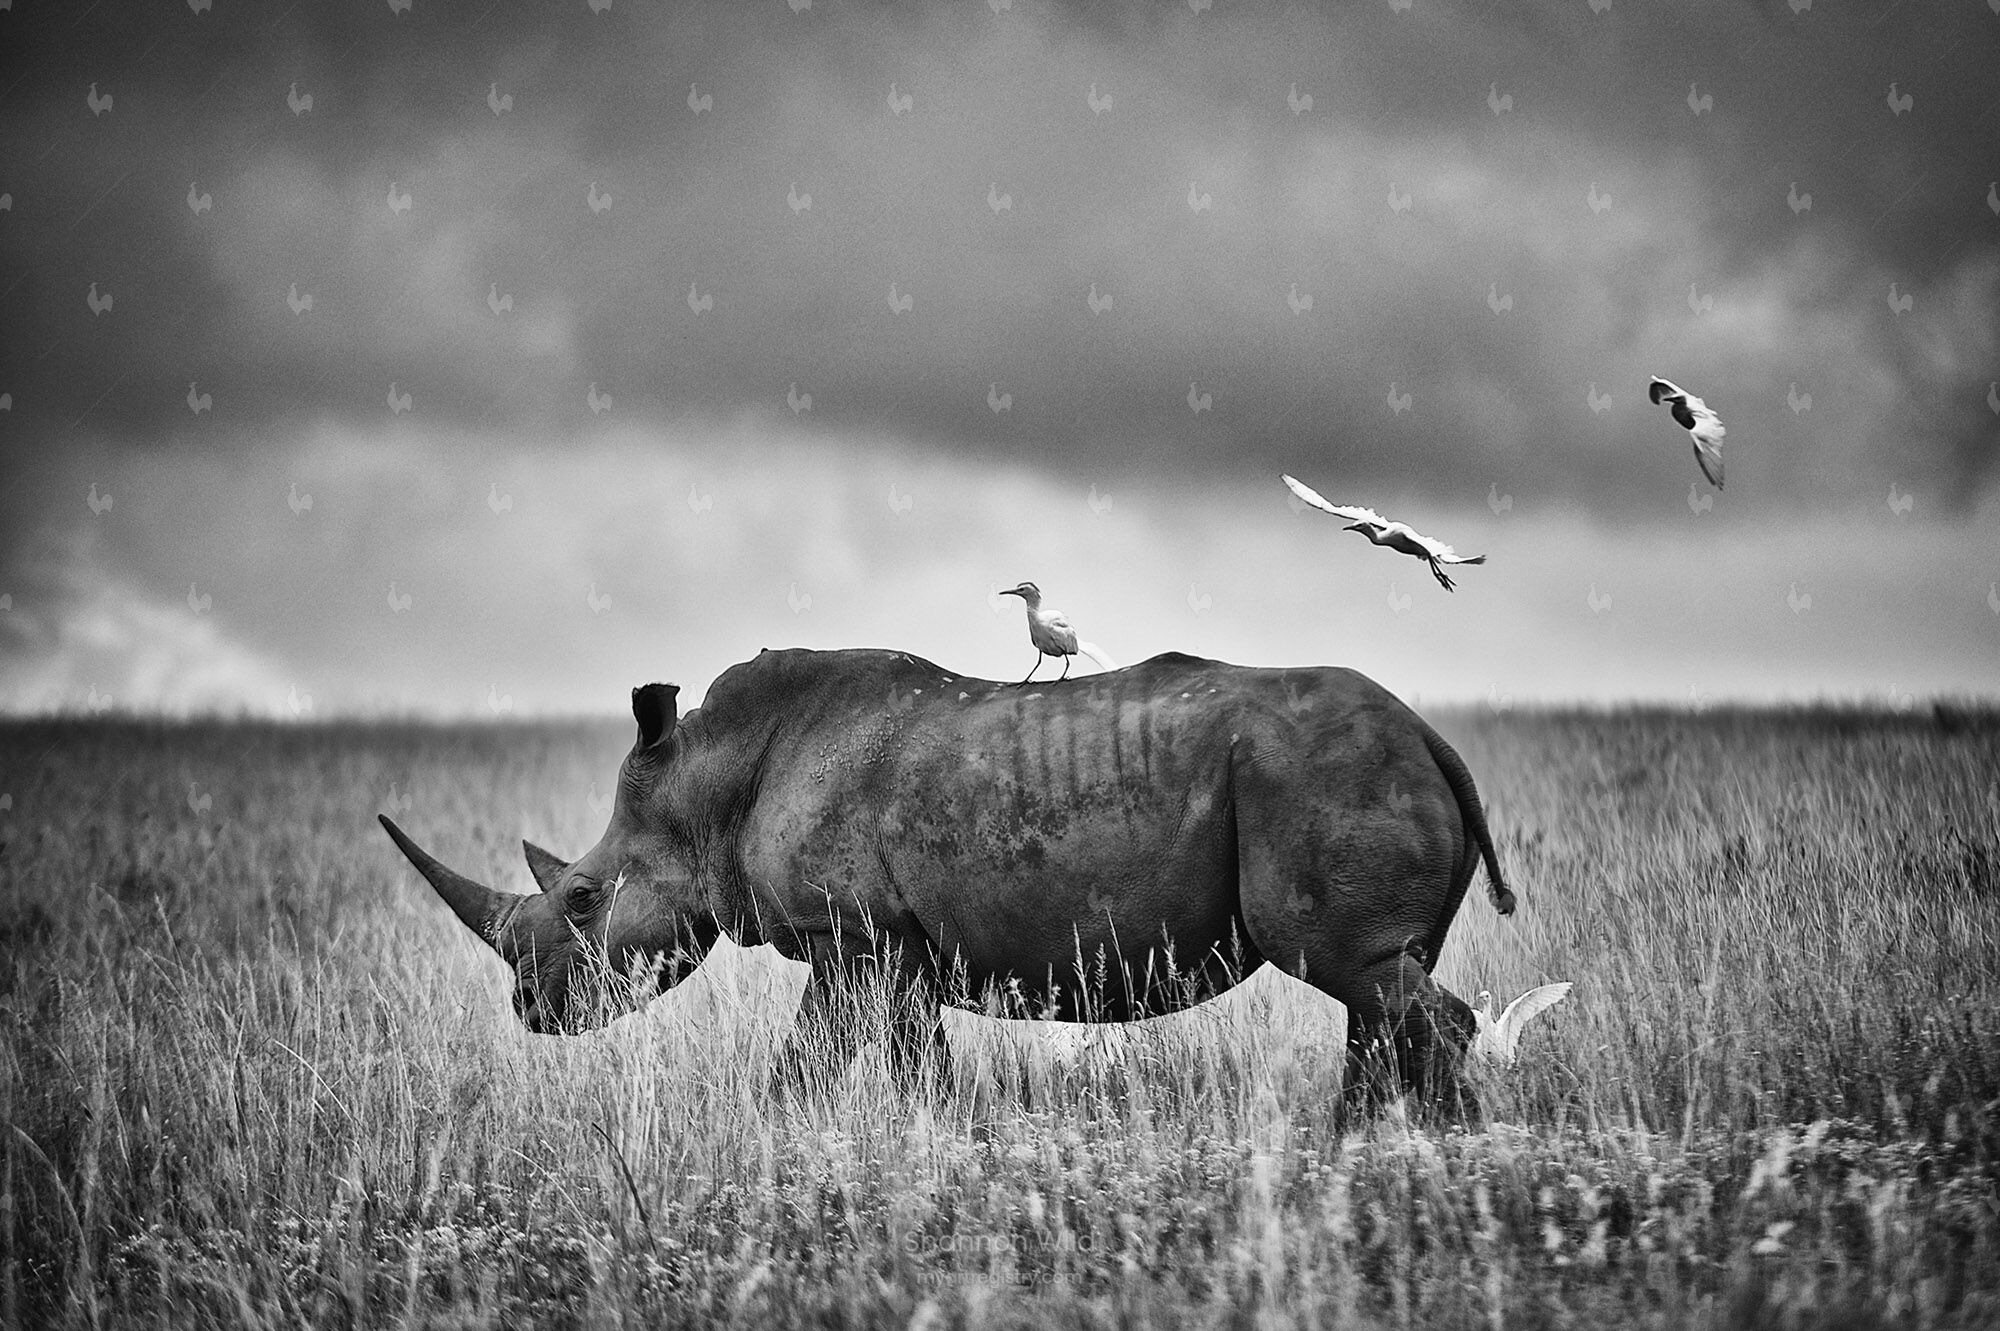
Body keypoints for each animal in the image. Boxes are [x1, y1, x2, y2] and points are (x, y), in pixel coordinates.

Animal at [380, 648, 1516, 1113]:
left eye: (581, 899)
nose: (529, 1010)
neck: (707, 782)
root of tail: (1431, 734)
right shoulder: (895, 944)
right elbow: (905, 1061)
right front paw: (943, 1144)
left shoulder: (848, 934)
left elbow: (809, 1062)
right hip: (1358, 772)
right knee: (1378, 985)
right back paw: (1362, 1150)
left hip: (1323, 774)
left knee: (1359, 975)